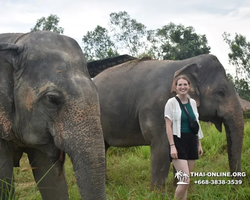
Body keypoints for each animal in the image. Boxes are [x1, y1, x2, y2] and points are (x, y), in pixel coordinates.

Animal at [93, 54, 244, 191]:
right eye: (220, 92)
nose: (234, 189)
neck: (185, 63)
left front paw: (177, 189)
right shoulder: (158, 107)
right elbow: (162, 146)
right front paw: (157, 193)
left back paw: (106, 183)